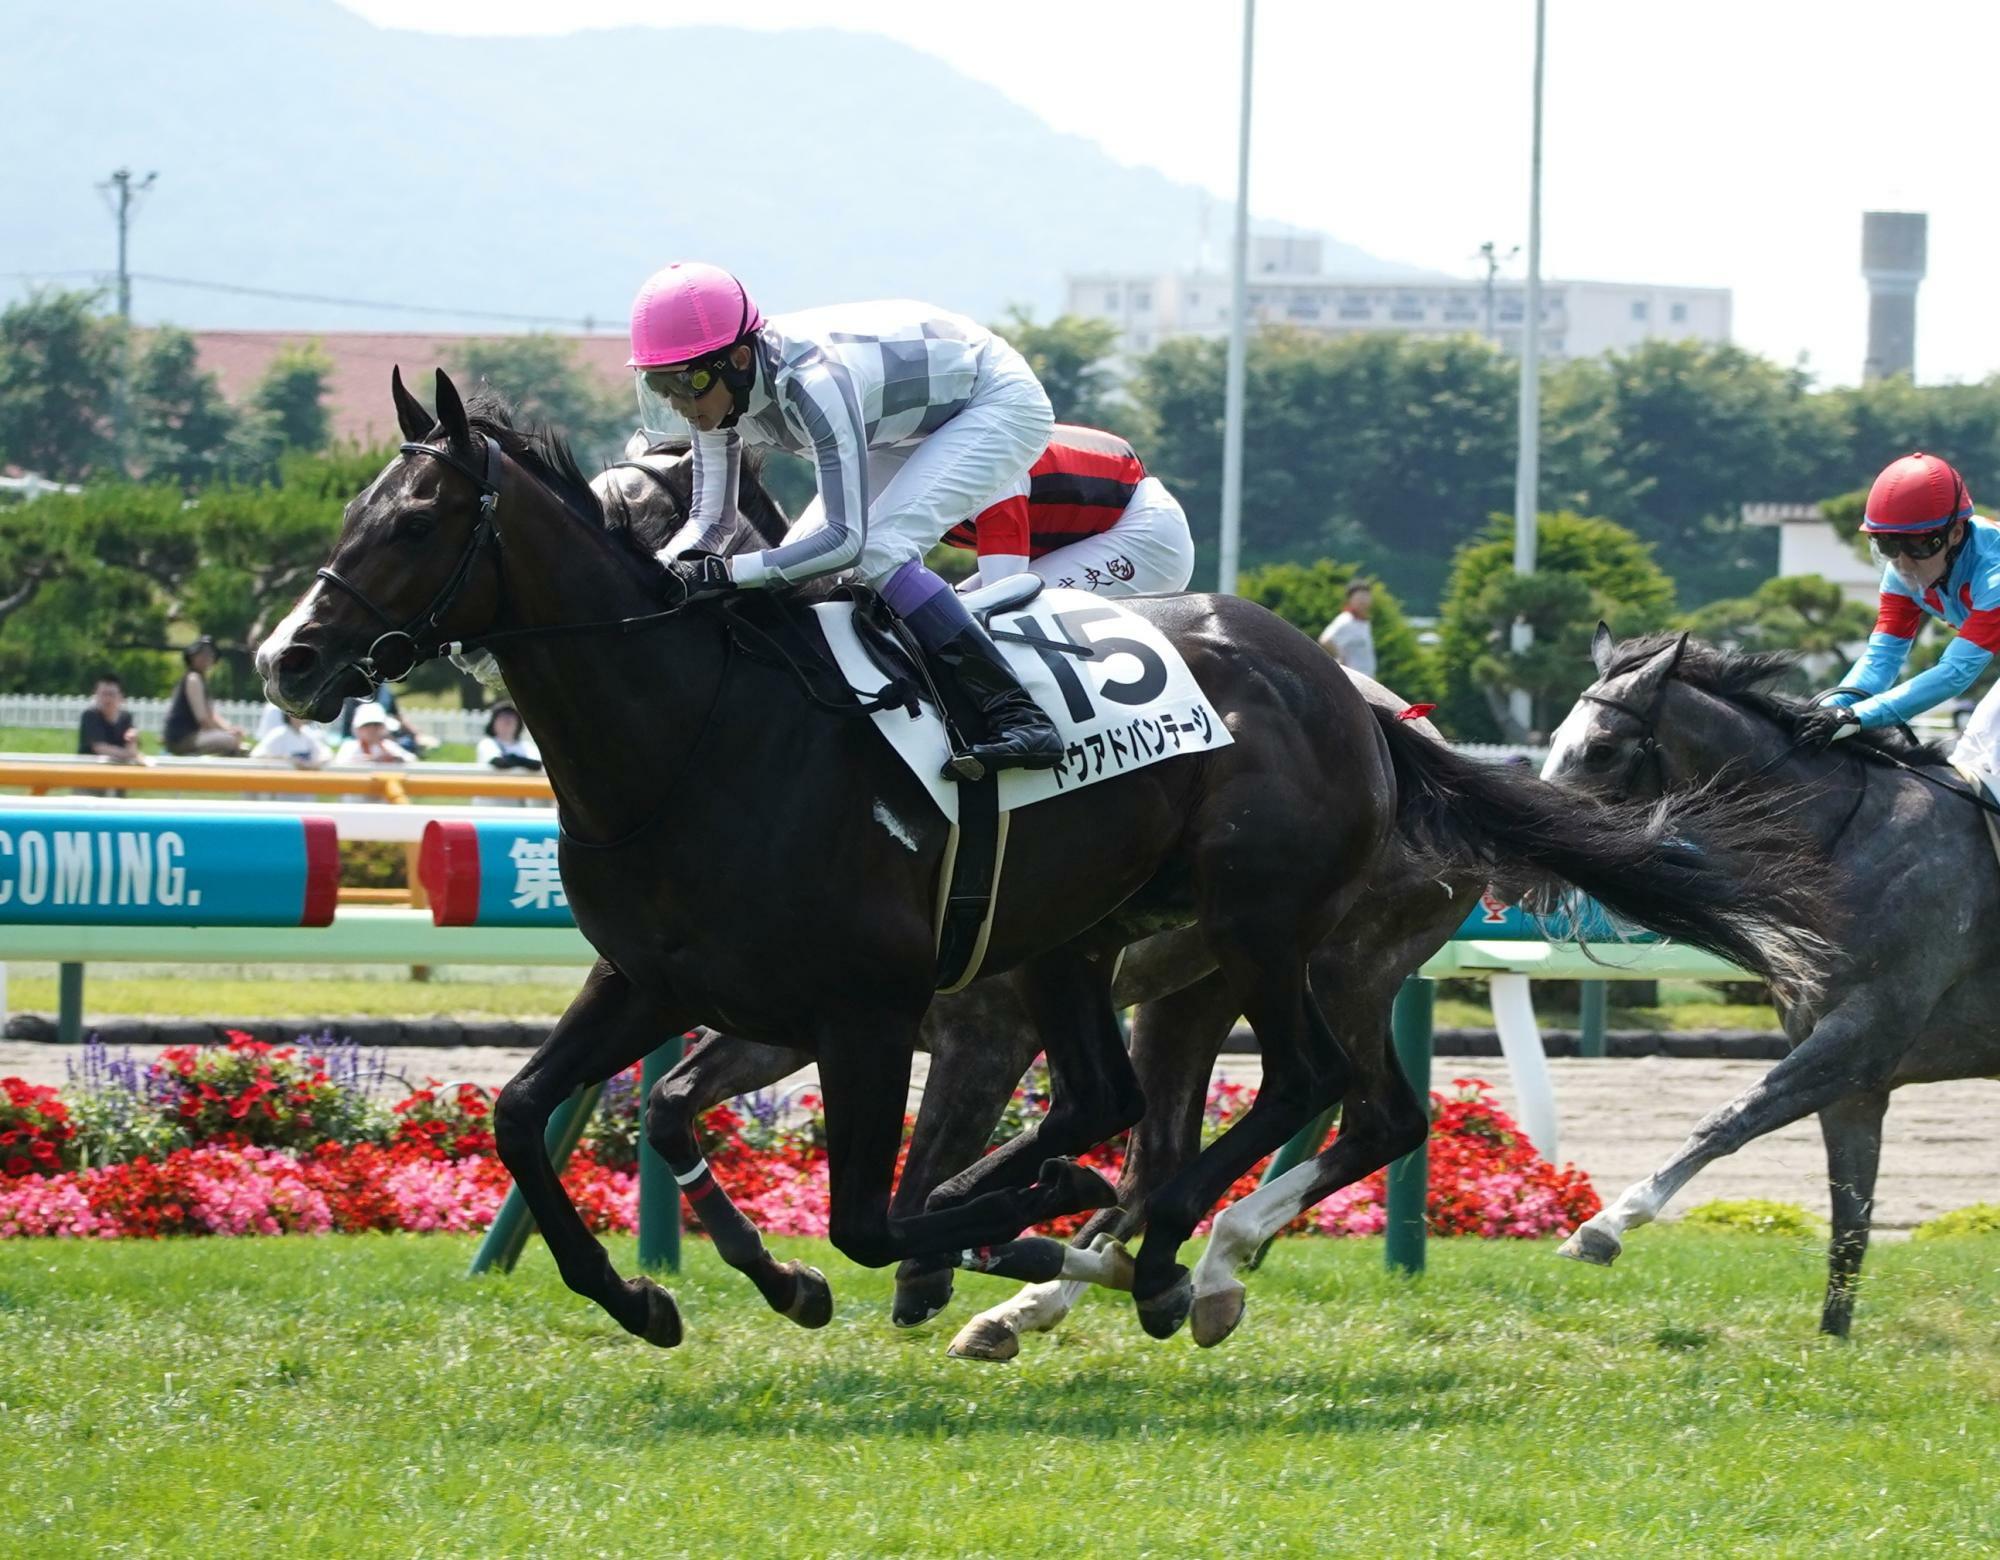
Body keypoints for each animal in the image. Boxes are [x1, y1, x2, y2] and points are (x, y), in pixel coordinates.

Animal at [266, 372, 1840, 1344]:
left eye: (417, 518)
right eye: (350, 509)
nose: (288, 659)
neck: (700, 731)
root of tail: (1356, 706)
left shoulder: (870, 1009)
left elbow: (865, 1205)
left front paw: (983, 1240)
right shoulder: (667, 982)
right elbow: (541, 1113)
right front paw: (650, 1296)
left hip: (1270, 935)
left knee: (1311, 1094)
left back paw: (1147, 1254)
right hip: (1101, 944)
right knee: (1162, 1103)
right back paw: (1115, 1251)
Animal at [1536, 628, 1992, 1336]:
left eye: (1601, 749)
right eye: (1555, 737)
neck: (1848, 842)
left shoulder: (1862, 1035)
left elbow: (1725, 1121)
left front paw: (1605, 1225)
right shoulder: (1856, 1074)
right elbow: (1850, 1214)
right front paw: (1832, 1338)